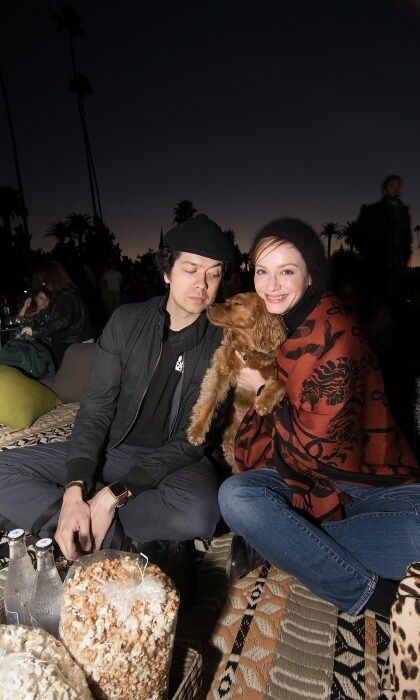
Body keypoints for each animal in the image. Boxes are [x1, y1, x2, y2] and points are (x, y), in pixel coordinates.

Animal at [186, 290, 288, 470]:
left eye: (237, 303)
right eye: (227, 300)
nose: (209, 306)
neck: (249, 348)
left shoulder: (273, 372)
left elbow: (281, 383)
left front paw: (264, 402)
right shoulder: (221, 367)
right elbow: (209, 400)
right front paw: (197, 430)